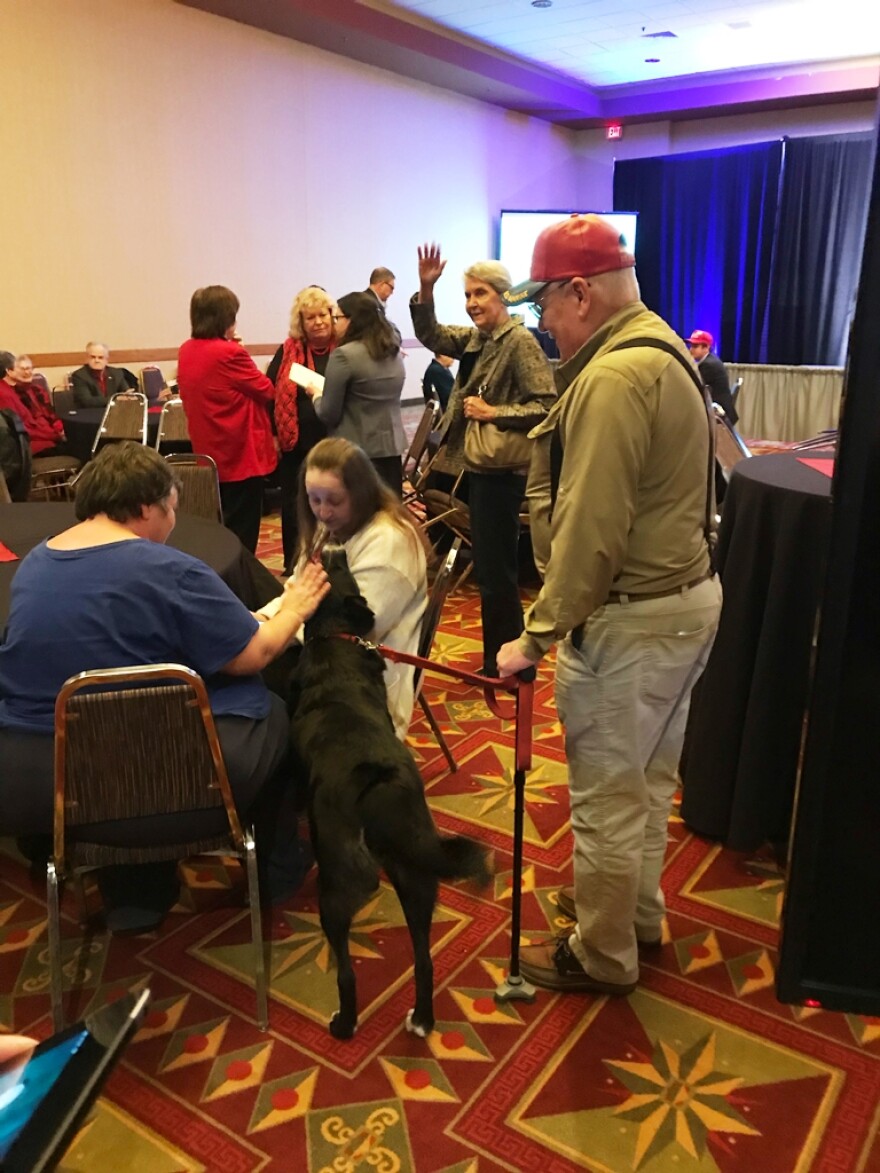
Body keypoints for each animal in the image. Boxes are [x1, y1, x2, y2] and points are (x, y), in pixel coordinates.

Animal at [290, 544, 492, 1041]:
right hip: (418, 878)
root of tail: (381, 784)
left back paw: (343, 1023)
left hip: (339, 884)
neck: (338, 637)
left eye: (337, 568)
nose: (332, 547)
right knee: (424, 960)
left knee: (346, 971)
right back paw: (422, 1019)